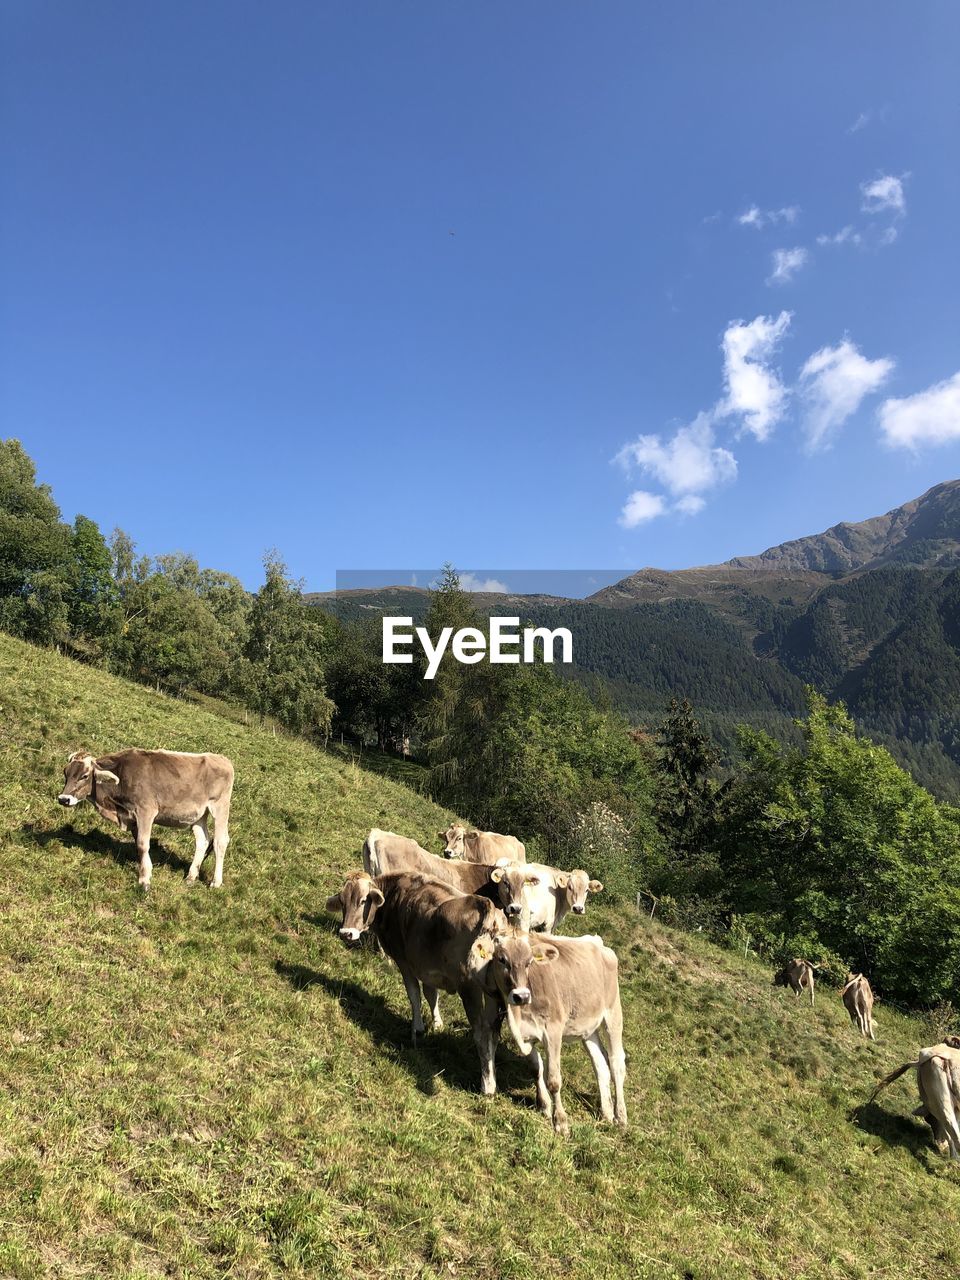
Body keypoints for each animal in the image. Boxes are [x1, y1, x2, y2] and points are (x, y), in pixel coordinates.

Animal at [58, 747, 235, 890]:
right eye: (66, 773)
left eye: (84, 775)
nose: (63, 799)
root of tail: (222, 759)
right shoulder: (133, 816)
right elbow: (139, 843)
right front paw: (146, 871)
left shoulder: (145, 811)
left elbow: (143, 844)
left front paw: (144, 880)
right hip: (198, 814)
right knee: (202, 840)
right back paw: (191, 877)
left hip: (219, 806)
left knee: (220, 841)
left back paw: (215, 882)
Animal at [330, 875, 512, 1095]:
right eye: (342, 901)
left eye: (363, 900)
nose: (346, 933)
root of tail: (487, 907)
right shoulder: (426, 967)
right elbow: (431, 995)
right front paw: (437, 1024)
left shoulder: (404, 961)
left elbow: (414, 994)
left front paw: (417, 1029)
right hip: (492, 994)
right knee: (493, 1033)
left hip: (469, 989)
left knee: (482, 1034)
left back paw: (487, 1084)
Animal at [481, 931, 632, 1141]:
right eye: (501, 959)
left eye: (529, 962)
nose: (522, 996)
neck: (518, 1015)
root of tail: (596, 941)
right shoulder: (527, 1035)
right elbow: (536, 1069)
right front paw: (544, 1106)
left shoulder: (553, 1030)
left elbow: (553, 1080)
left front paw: (560, 1122)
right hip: (588, 1028)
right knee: (601, 1065)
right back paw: (607, 1113)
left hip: (613, 1013)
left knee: (617, 1063)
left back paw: (621, 1116)